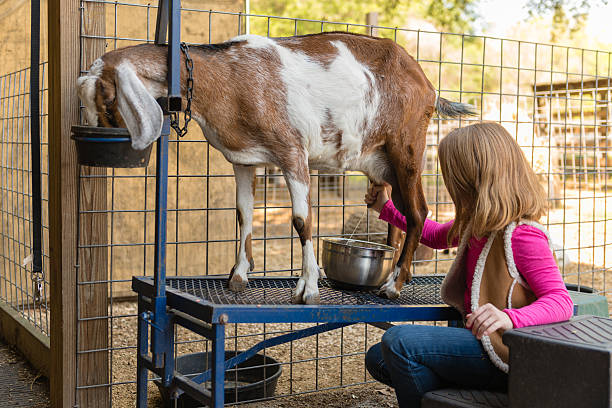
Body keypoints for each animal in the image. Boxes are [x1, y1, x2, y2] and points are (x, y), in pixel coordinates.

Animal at [77, 31, 474, 302]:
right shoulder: (244, 159)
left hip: (407, 148)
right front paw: (239, 276)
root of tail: (428, 84)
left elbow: (301, 221)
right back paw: (390, 274)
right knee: (401, 215)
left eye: (109, 101)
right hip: (381, 161)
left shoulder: (292, 152)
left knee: (418, 212)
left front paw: (308, 288)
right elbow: (244, 214)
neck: (229, 80)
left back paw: (394, 285)